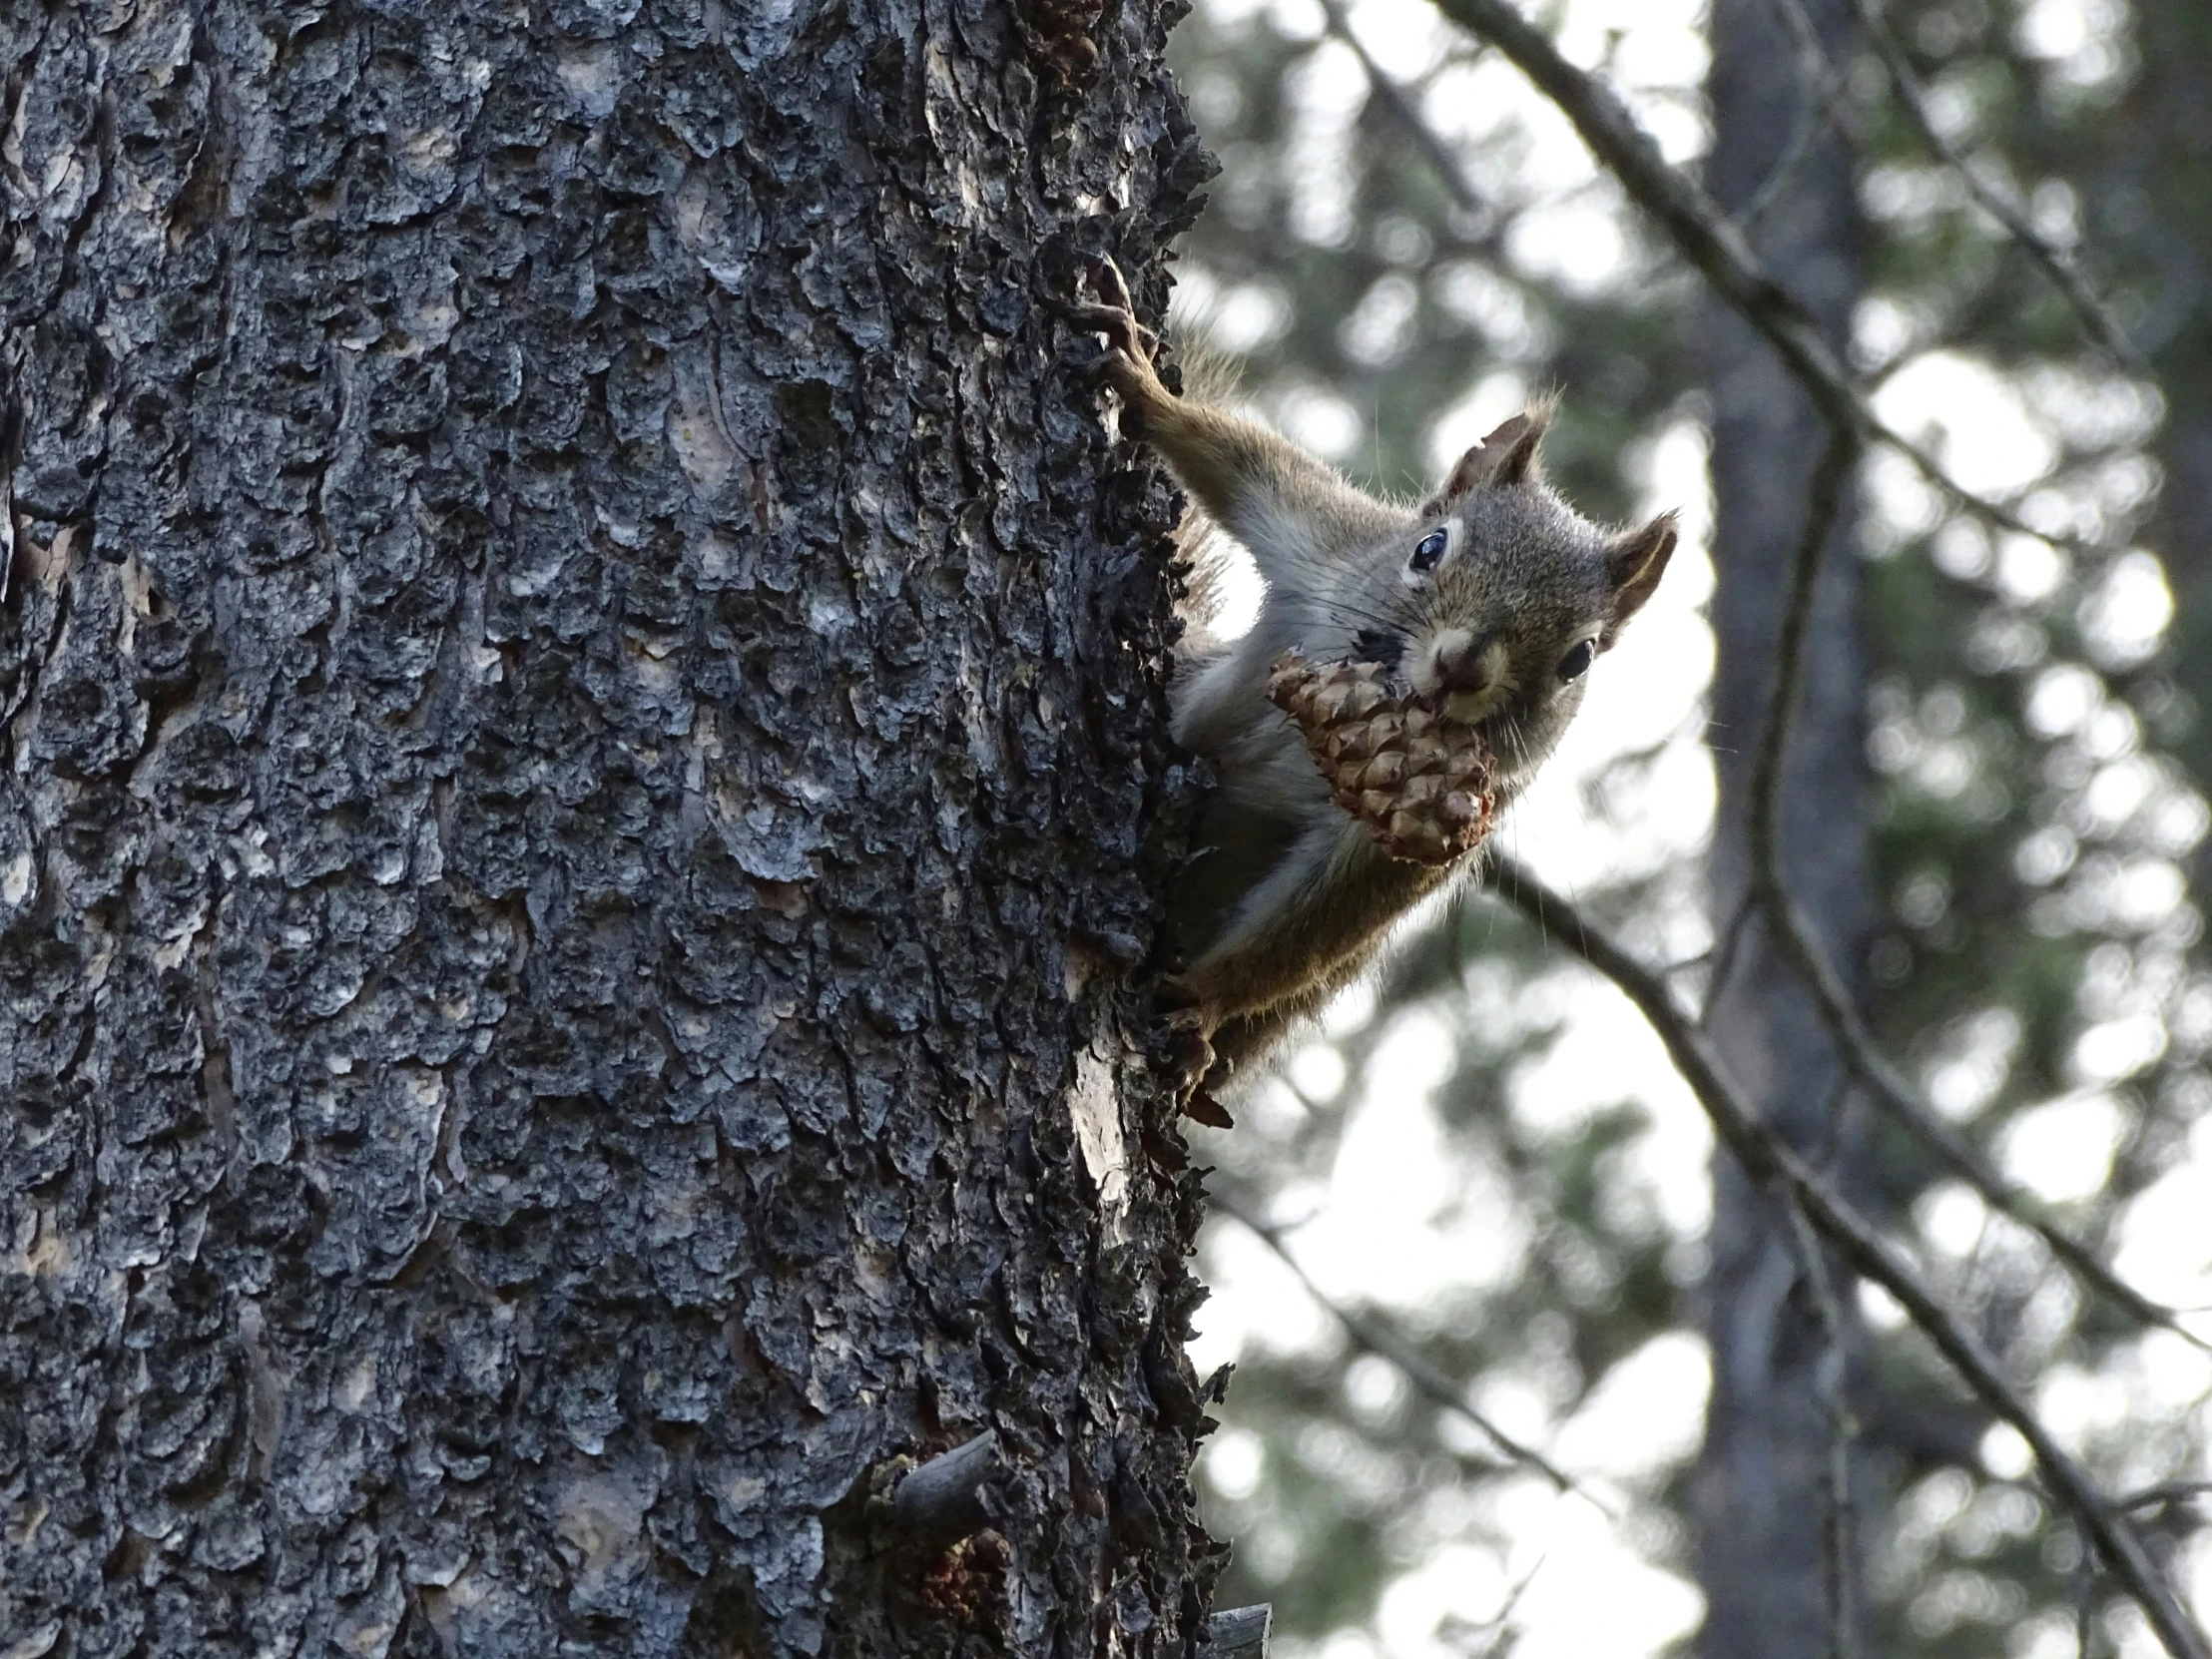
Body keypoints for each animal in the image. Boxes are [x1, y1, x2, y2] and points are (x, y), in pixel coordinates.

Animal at [1070, 260, 1672, 1119]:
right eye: (1428, 548)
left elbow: (1314, 929)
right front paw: (1142, 379)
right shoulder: (1323, 537)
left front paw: (1204, 1004)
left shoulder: (1440, 836)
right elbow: (1234, 458)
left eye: (1579, 659)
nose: (1461, 668)